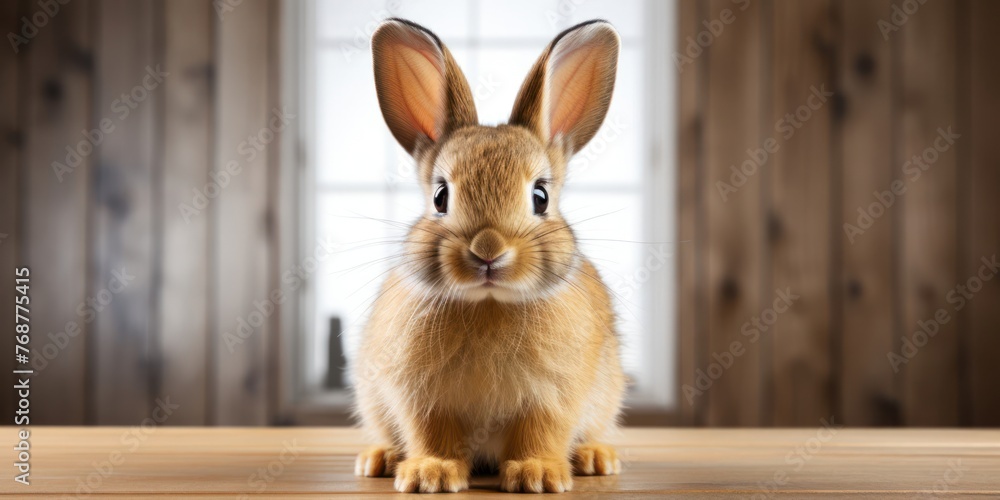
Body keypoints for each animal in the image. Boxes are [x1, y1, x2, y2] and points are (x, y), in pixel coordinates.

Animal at [352, 17, 626, 494]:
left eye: (540, 196)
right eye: (440, 197)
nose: (488, 251)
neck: (489, 302)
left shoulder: (553, 395)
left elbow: (541, 431)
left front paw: (538, 475)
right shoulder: (421, 396)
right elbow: (431, 433)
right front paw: (431, 474)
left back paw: (596, 457)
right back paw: (378, 459)